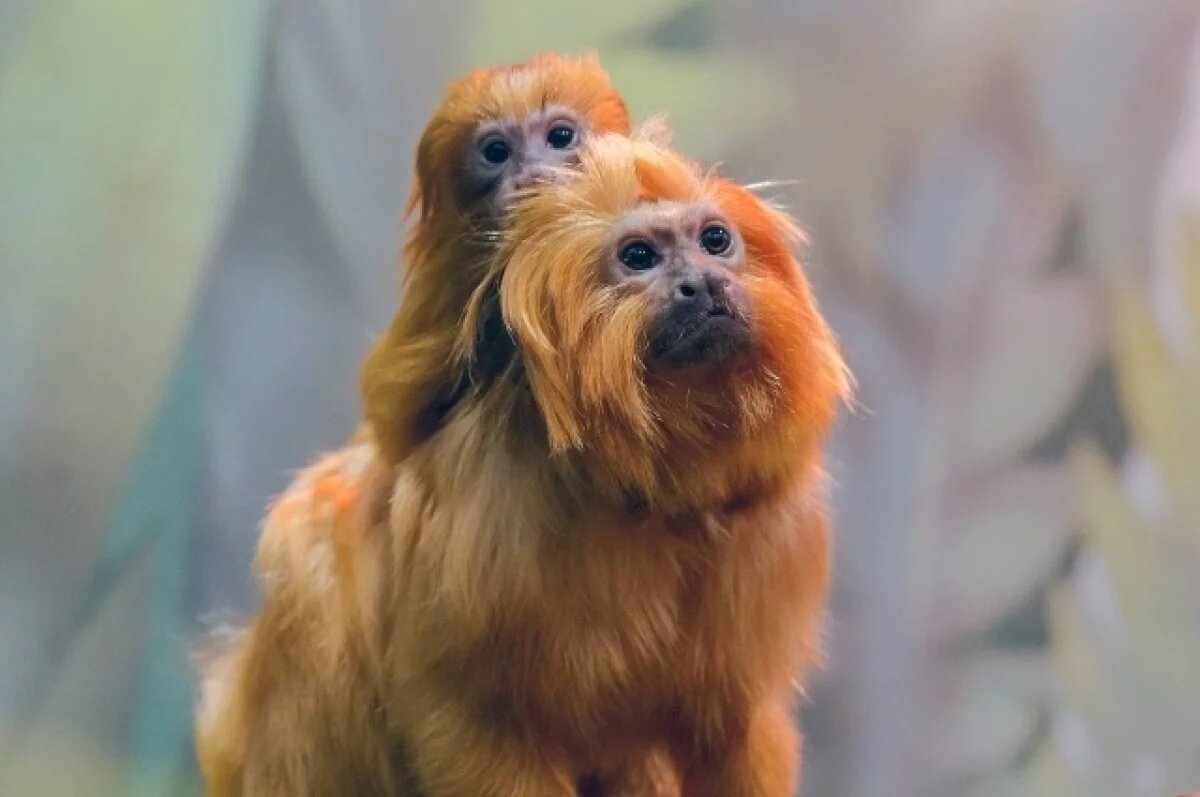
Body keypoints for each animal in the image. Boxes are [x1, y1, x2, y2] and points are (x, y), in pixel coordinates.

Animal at [194, 130, 849, 796]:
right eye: (639, 256)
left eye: (716, 241)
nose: (703, 283)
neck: (640, 494)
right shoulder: (485, 577)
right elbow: (478, 728)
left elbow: (733, 726)